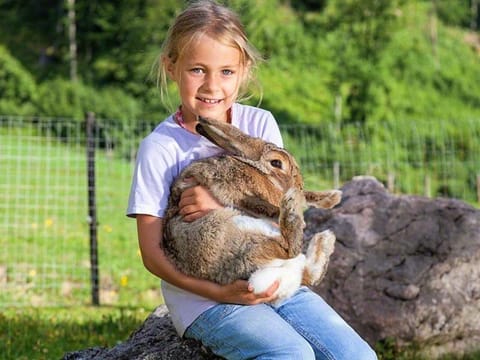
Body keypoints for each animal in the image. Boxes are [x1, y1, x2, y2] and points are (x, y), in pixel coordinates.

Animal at [163, 116, 340, 302]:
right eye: (276, 163)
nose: (297, 184)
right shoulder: (234, 188)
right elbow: (263, 206)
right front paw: (293, 208)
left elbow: (306, 196)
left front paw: (332, 197)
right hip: (234, 233)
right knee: (289, 249)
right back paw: (292, 209)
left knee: (309, 272)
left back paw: (325, 239)